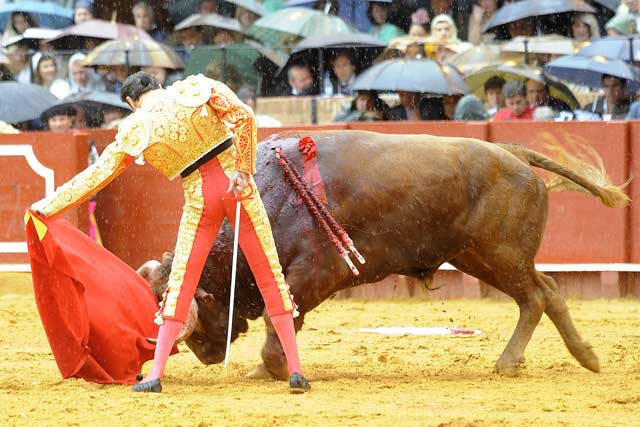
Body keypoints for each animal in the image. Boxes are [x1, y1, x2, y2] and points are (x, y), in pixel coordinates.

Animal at [139, 131, 632, 382]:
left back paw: (512, 362)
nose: (205, 355)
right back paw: (584, 357)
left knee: (537, 295)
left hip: (498, 254)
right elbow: (281, 320)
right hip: (479, 256)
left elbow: (281, 320)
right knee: (544, 290)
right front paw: (267, 369)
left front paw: (273, 368)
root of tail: (510, 151)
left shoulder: (314, 274)